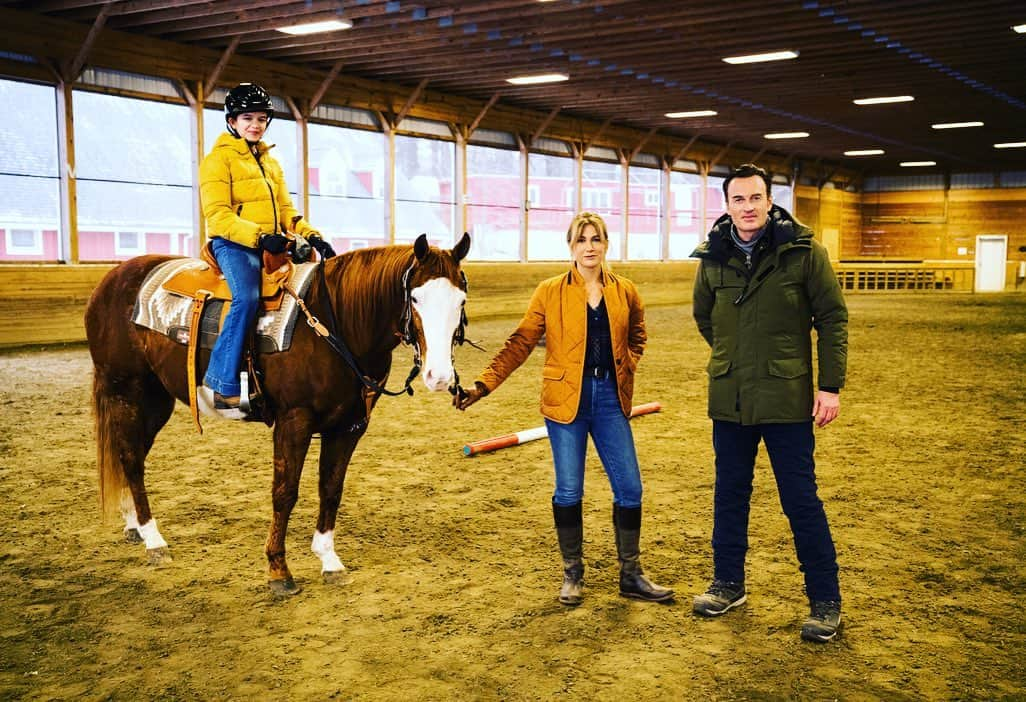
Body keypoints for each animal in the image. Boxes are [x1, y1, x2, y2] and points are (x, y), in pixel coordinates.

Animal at [88, 232, 471, 595]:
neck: (336, 324)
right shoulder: (293, 421)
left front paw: (329, 561)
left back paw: (135, 527)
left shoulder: (350, 426)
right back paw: (154, 541)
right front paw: (278, 570)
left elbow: (331, 488)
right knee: (131, 459)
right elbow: (285, 492)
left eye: (461, 300)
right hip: (126, 390)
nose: (440, 377)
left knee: (130, 456)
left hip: (156, 400)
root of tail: (112, 280)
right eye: (416, 298)